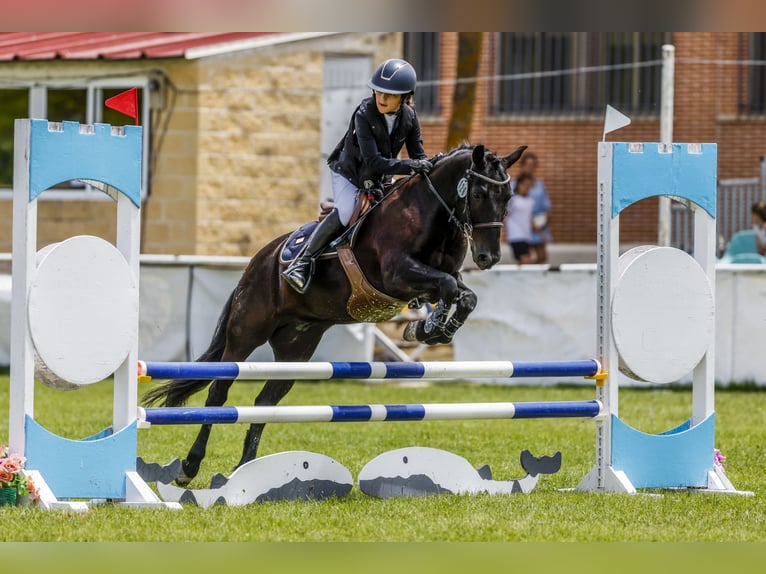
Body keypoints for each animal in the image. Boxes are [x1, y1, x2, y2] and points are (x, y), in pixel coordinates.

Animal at [142, 143, 528, 486]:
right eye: (478, 193)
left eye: (508, 197)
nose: (489, 258)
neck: (431, 211)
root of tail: (256, 263)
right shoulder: (398, 275)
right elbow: (446, 286)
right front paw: (428, 328)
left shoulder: (437, 279)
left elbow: (465, 295)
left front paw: (431, 330)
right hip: (245, 334)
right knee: (218, 396)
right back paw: (189, 467)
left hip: (296, 351)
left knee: (264, 402)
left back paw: (245, 470)